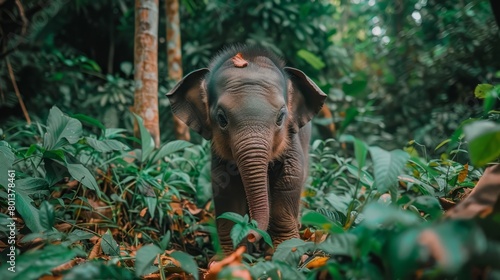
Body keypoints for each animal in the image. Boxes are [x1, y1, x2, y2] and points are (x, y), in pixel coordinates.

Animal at [166, 45, 326, 252]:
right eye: (222, 119)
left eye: (281, 117)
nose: (251, 234)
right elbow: (226, 186)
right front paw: (230, 256)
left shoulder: (292, 139)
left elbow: (290, 178)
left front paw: (287, 250)